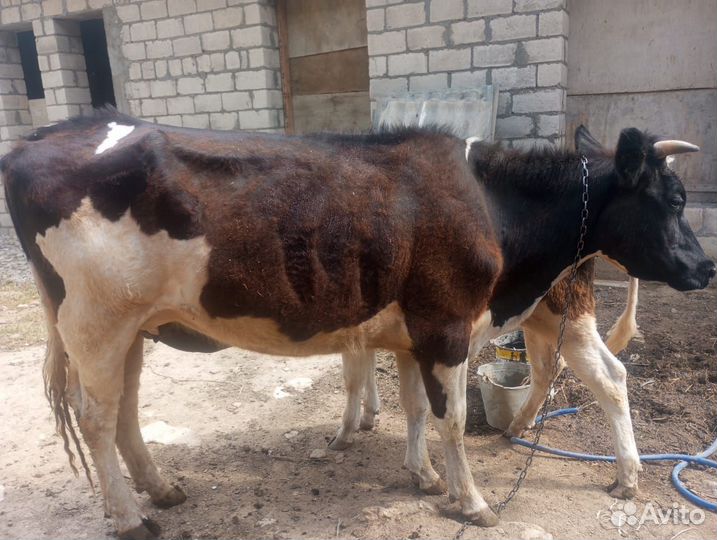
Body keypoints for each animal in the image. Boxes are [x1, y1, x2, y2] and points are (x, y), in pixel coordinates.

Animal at [1, 109, 713, 539]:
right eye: (675, 199)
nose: (705, 267)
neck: (491, 205)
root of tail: (42, 137)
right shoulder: (448, 325)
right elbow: (453, 420)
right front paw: (472, 501)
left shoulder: (411, 332)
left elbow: (416, 409)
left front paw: (424, 477)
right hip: (95, 321)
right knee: (96, 419)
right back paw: (128, 517)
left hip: (129, 329)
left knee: (122, 411)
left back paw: (163, 491)